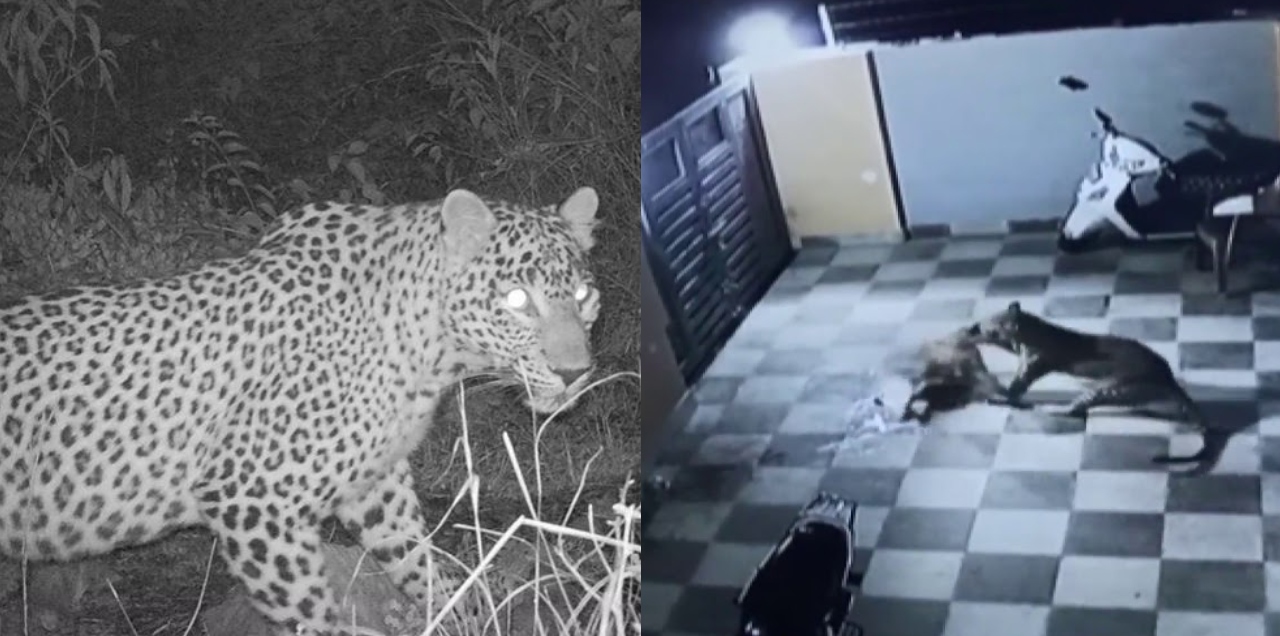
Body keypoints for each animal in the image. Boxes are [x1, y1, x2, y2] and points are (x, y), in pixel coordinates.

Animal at [0, 186, 602, 635]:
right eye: (518, 301)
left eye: (582, 295)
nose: (575, 372)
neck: (431, 353)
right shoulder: (252, 499)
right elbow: (311, 608)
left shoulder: (376, 482)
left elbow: (417, 557)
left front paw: (465, 613)